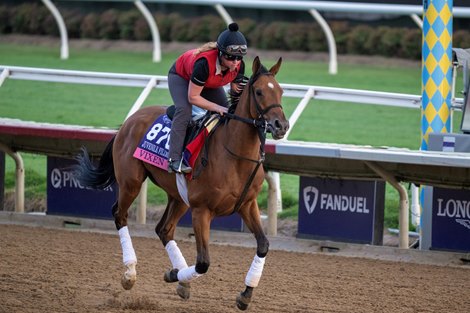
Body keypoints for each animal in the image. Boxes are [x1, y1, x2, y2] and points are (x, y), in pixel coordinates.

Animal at [73, 56, 288, 310]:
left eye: (281, 91)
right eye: (259, 91)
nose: (281, 125)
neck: (234, 155)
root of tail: (129, 121)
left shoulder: (247, 204)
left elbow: (263, 245)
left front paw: (245, 294)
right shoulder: (201, 210)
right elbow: (203, 262)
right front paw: (174, 275)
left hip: (178, 196)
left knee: (164, 229)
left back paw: (180, 278)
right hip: (131, 182)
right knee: (120, 215)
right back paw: (130, 274)